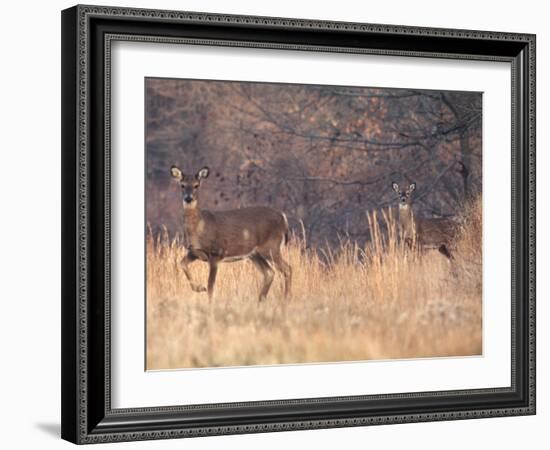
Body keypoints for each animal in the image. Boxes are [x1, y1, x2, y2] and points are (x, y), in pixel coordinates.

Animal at [170, 166, 294, 302]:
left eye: (196, 185)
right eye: (182, 185)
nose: (188, 198)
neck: (199, 227)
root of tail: (283, 218)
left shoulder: (216, 253)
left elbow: (211, 286)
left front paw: (209, 301)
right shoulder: (195, 252)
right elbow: (182, 263)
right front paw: (199, 288)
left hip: (271, 247)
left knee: (287, 269)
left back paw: (286, 299)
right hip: (254, 254)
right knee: (269, 272)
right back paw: (261, 300)